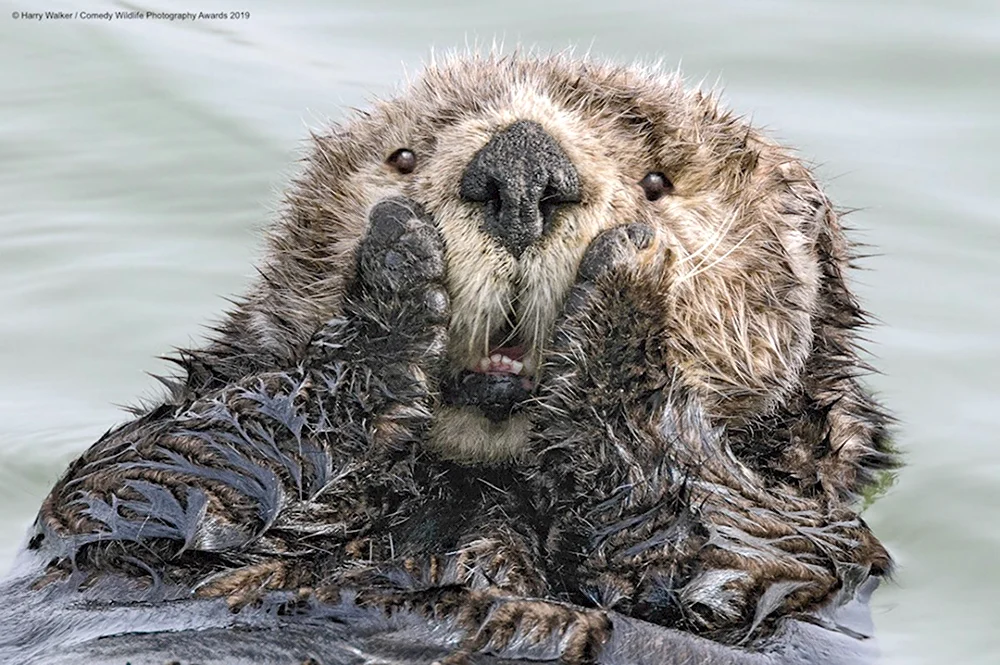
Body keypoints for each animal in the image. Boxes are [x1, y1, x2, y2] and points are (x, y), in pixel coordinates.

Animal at [0, 53, 896, 664]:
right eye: (403, 157)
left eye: (657, 182)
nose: (522, 168)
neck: (476, 485)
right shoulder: (115, 512)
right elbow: (150, 478)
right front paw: (395, 273)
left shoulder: (809, 547)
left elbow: (713, 547)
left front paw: (628, 289)